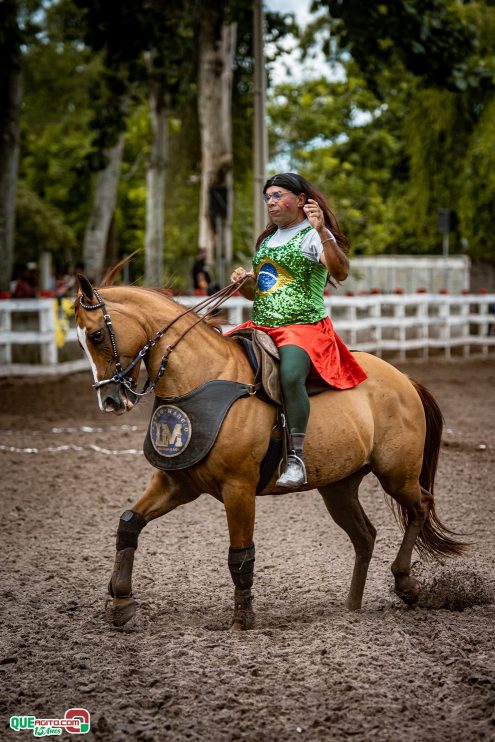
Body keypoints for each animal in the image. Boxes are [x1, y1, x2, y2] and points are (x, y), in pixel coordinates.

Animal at [74, 270, 468, 632]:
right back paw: (351, 608)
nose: (110, 400)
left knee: (421, 507)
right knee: (365, 536)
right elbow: (129, 524)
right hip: (339, 487)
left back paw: (404, 583)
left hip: (397, 475)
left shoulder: (238, 489)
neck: (204, 379)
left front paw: (242, 619)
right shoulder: (178, 482)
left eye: (96, 335)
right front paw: (121, 602)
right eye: (80, 343)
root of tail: (404, 380)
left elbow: (240, 555)